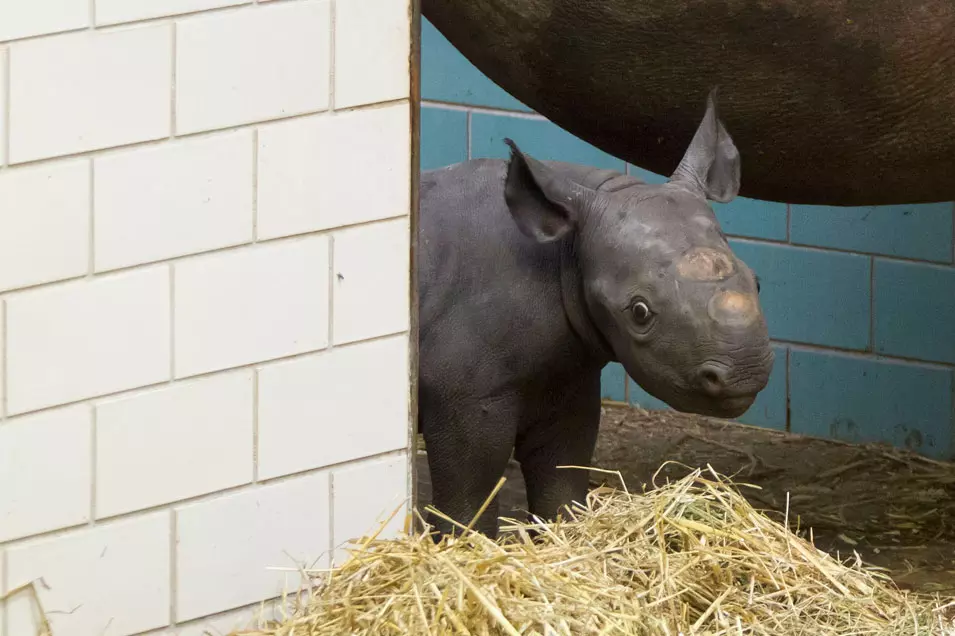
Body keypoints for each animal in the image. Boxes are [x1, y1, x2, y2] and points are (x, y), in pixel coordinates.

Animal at [418, 89, 776, 536]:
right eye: (639, 312)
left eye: (757, 283)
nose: (745, 371)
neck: (566, 252)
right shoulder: (463, 394)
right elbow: (468, 496)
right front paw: (463, 541)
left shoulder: (566, 374)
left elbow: (562, 476)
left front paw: (565, 532)